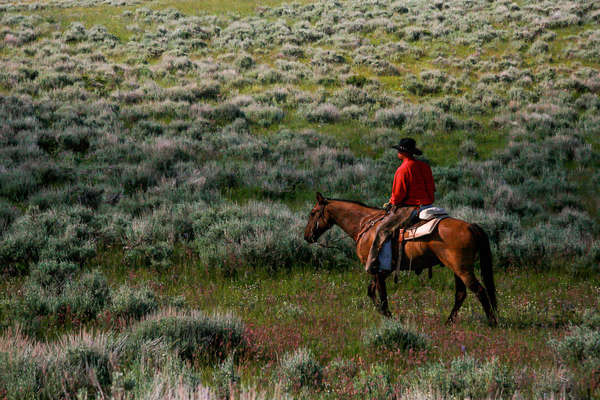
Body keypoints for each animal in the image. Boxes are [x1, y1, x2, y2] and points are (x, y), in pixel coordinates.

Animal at [304, 192, 496, 326]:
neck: (364, 224)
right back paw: (449, 322)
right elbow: (371, 291)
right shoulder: (384, 271)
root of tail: (470, 226)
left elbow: (381, 294)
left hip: (463, 269)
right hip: (457, 269)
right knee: (461, 294)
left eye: (313, 213)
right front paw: (385, 314)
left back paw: (492, 322)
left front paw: (389, 317)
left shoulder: (377, 268)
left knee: (480, 291)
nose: (307, 236)